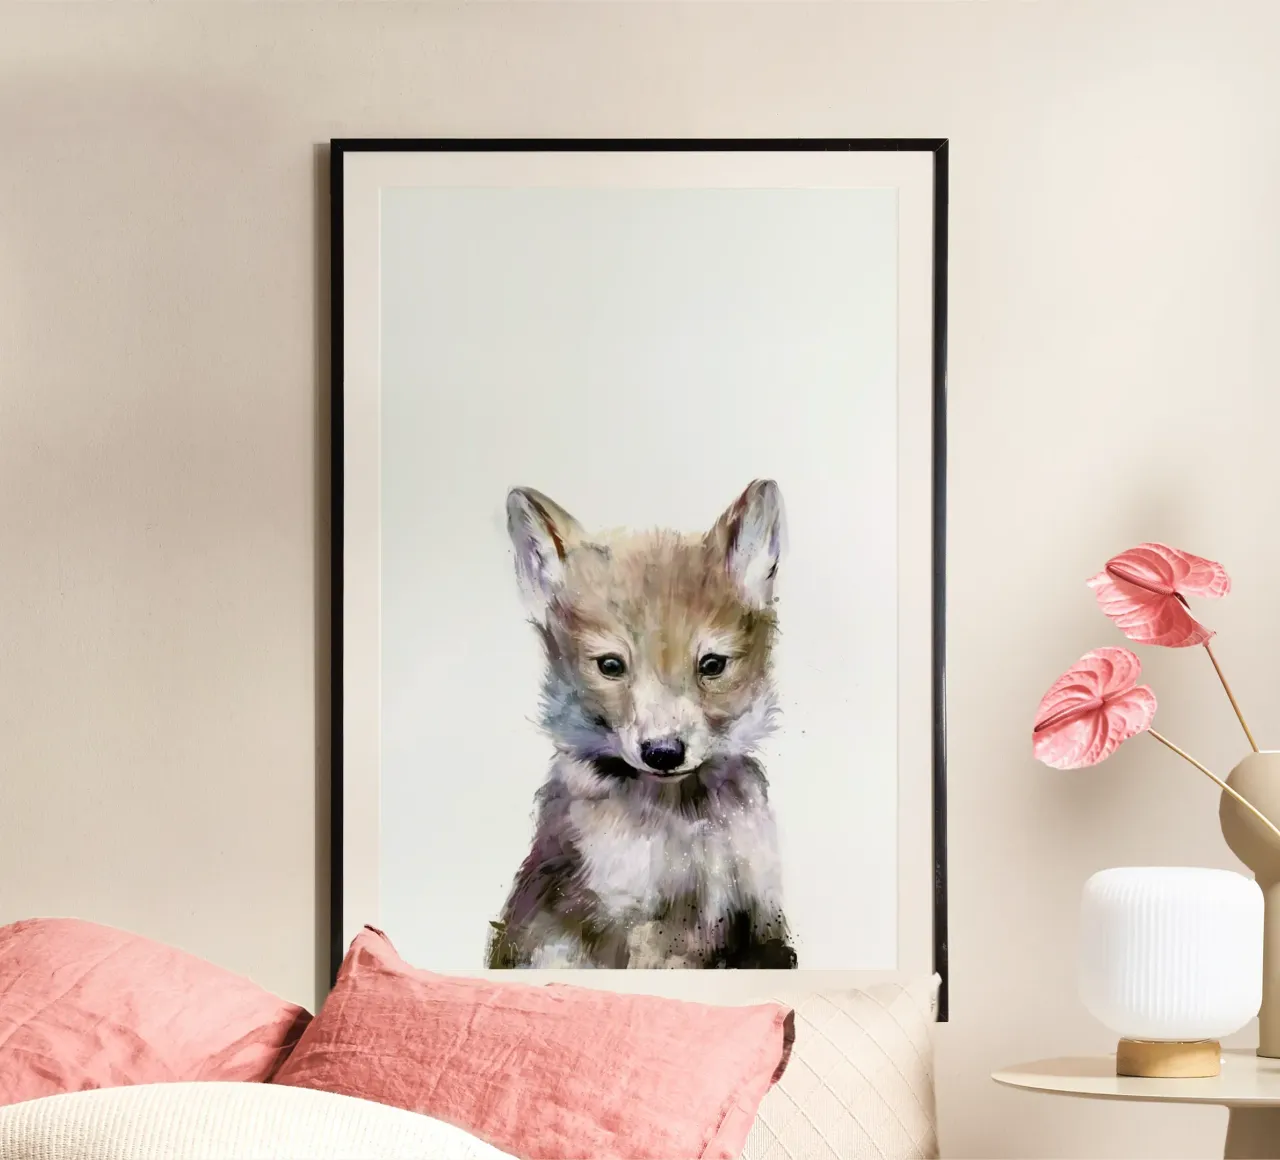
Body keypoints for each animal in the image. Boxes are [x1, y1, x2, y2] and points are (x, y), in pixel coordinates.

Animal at [486, 479, 797, 970]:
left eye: (712, 665)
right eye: (611, 666)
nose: (663, 753)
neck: (683, 821)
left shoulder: (760, 919)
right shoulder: (630, 925)